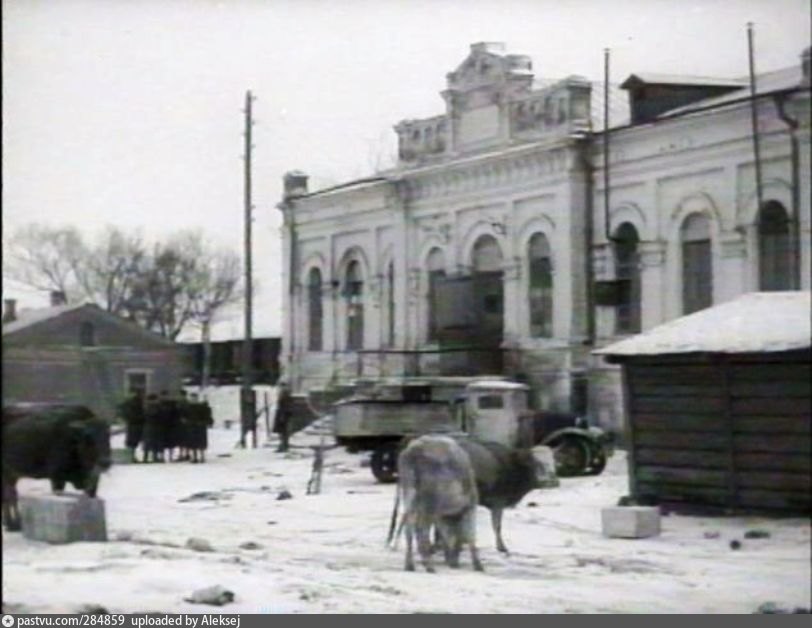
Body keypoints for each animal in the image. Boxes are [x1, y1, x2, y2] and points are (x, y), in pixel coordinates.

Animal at [388, 436, 560, 556]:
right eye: (535, 463)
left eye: (553, 462)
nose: (550, 481)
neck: (510, 464)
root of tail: (413, 443)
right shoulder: (497, 501)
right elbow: (497, 525)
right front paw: (502, 547)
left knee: (408, 517)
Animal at [394, 434, 482, 572]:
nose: (454, 563)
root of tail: (414, 451)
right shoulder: (470, 505)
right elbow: (470, 533)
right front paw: (478, 565)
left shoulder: (439, 515)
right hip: (429, 503)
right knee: (421, 529)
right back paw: (429, 566)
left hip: (409, 493)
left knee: (409, 527)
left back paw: (410, 565)